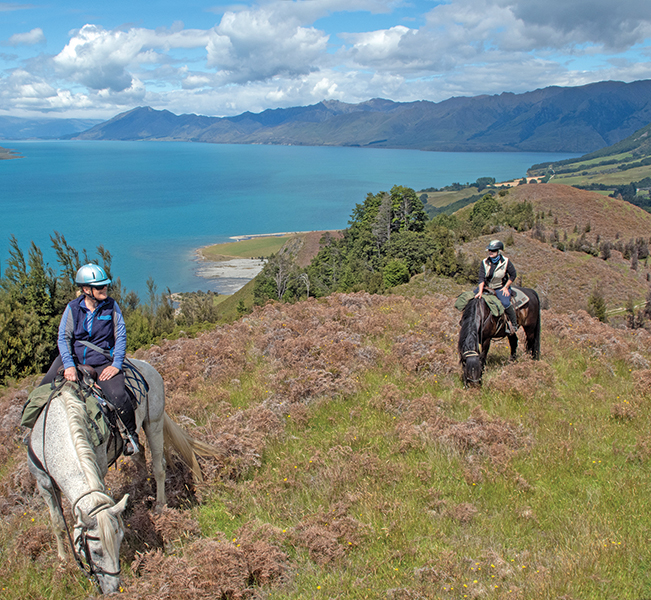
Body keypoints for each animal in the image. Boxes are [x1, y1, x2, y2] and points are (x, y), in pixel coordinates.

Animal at [27, 358, 221, 594]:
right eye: (96, 550)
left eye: (120, 541)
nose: (112, 589)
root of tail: (144, 364)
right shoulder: (44, 484)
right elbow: (56, 522)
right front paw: (63, 560)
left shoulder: (98, 471)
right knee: (141, 457)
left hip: (153, 423)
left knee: (159, 467)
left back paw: (159, 506)